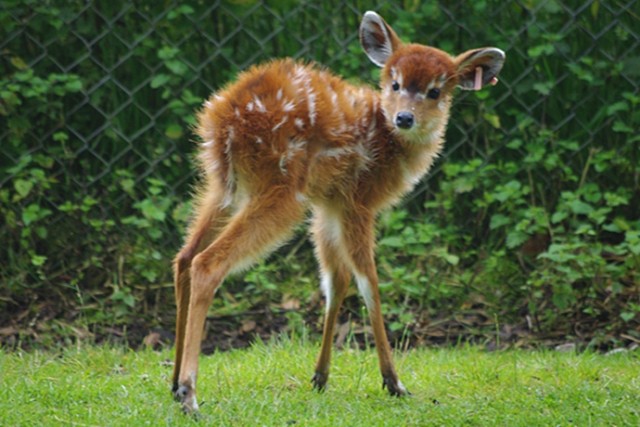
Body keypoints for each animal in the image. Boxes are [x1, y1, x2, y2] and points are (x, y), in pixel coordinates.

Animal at [171, 10, 504, 414]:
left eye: (435, 91)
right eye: (394, 83)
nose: (404, 118)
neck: (388, 146)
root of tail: (222, 118)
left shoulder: (328, 204)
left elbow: (335, 280)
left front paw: (320, 376)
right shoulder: (358, 200)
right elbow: (368, 281)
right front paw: (394, 382)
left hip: (221, 185)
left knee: (184, 256)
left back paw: (173, 383)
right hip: (282, 189)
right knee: (207, 262)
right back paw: (189, 392)